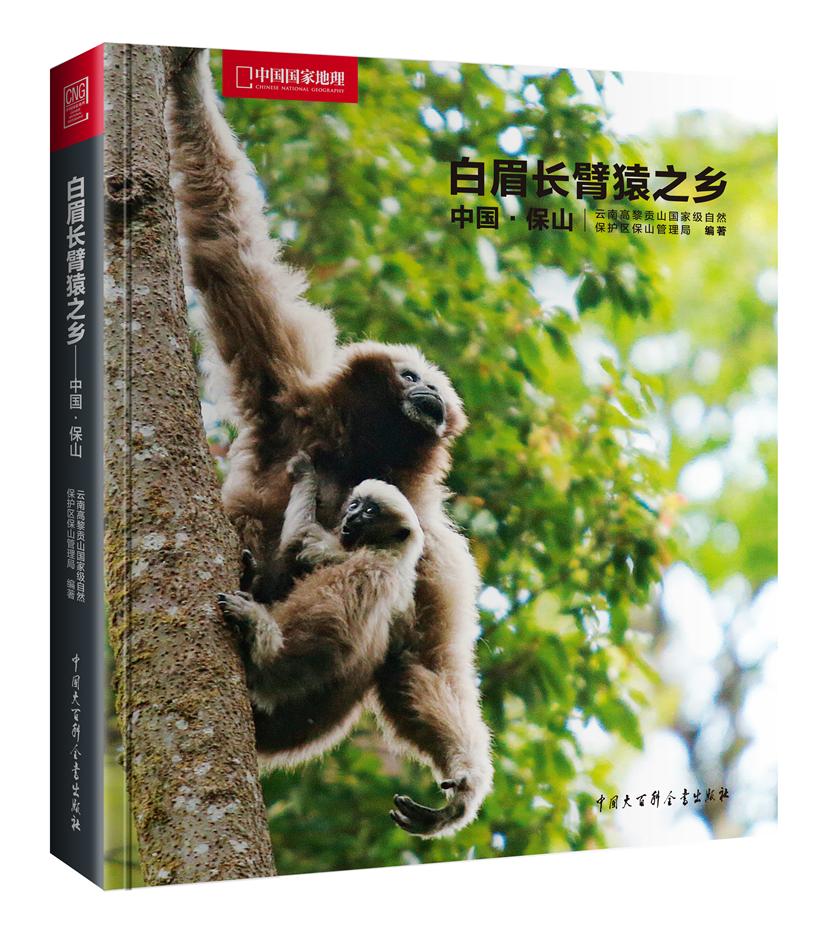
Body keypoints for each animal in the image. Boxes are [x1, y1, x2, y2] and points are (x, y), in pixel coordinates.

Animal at [166, 49, 492, 837]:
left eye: (432, 383)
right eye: (410, 373)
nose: (431, 395)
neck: (357, 454)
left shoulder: (438, 538)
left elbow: (422, 659)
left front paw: (463, 784)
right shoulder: (284, 389)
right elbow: (227, 248)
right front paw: (185, 76)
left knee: (390, 556)